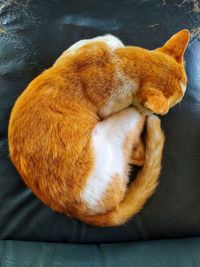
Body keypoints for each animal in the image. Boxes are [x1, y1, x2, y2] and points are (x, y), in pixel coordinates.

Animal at [7, 28, 189, 226]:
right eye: (177, 100)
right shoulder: (111, 106)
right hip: (126, 119)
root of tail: (78, 212)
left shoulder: (88, 43)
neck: (115, 60)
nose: (181, 99)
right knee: (142, 154)